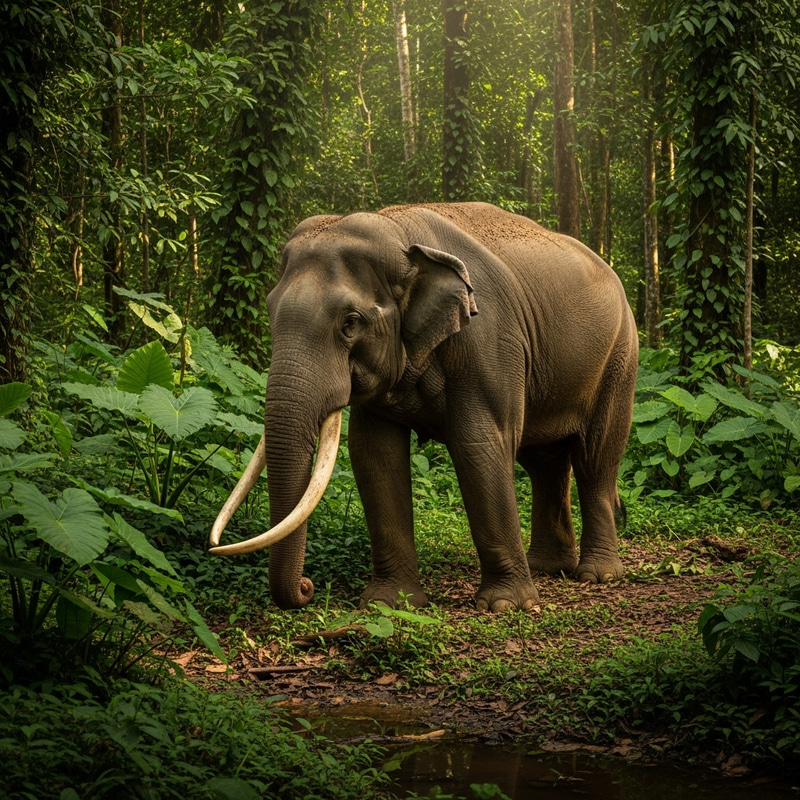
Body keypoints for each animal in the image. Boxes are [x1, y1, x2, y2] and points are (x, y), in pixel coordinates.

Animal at [209, 202, 638, 613]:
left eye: (351, 322)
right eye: (269, 311)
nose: (307, 587)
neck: (400, 232)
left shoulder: (489, 342)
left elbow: (479, 446)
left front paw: (505, 605)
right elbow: (375, 454)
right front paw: (387, 603)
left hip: (620, 360)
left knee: (595, 459)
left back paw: (597, 575)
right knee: (544, 462)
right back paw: (547, 567)